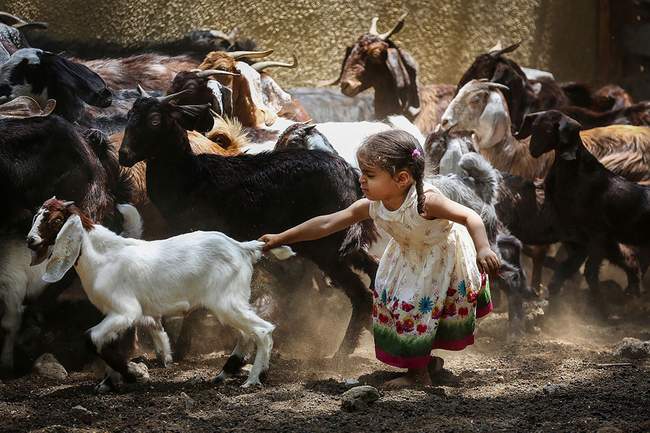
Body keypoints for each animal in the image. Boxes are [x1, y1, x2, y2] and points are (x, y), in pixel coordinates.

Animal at [27, 197, 292, 386]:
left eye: (54, 220)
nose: (30, 240)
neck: (104, 256)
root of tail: (242, 247)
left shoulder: (126, 311)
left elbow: (91, 338)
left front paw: (131, 375)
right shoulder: (115, 314)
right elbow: (107, 341)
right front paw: (110, 382)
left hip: (227, 302)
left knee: (262, 330)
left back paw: (254, 379)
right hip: (229, 303)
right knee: (246, 334)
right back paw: (226, 373)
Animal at [119, 94, 378, 362]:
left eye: (155, 120)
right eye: (129, 116)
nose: (123, 155)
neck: (190, 177)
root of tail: (352, 176)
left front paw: (182, 349)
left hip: (326, 246)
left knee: (360, 294)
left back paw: (341, 354)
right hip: (340, 243)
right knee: (373, 272)